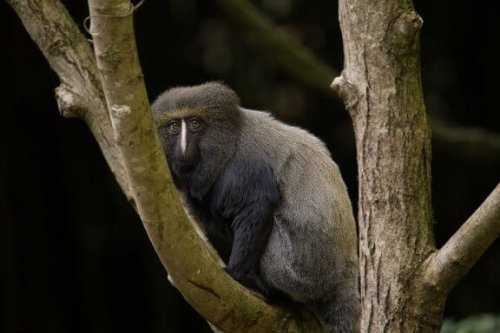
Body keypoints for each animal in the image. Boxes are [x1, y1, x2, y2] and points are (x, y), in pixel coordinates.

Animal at [151, 81, 360, 332]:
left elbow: (257, 206)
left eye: (194, 124)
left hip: (300, 273)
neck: (229, 139)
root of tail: (343, 275)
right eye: (174, 127)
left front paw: (238, 274)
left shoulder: (244, 168)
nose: (183, 146)